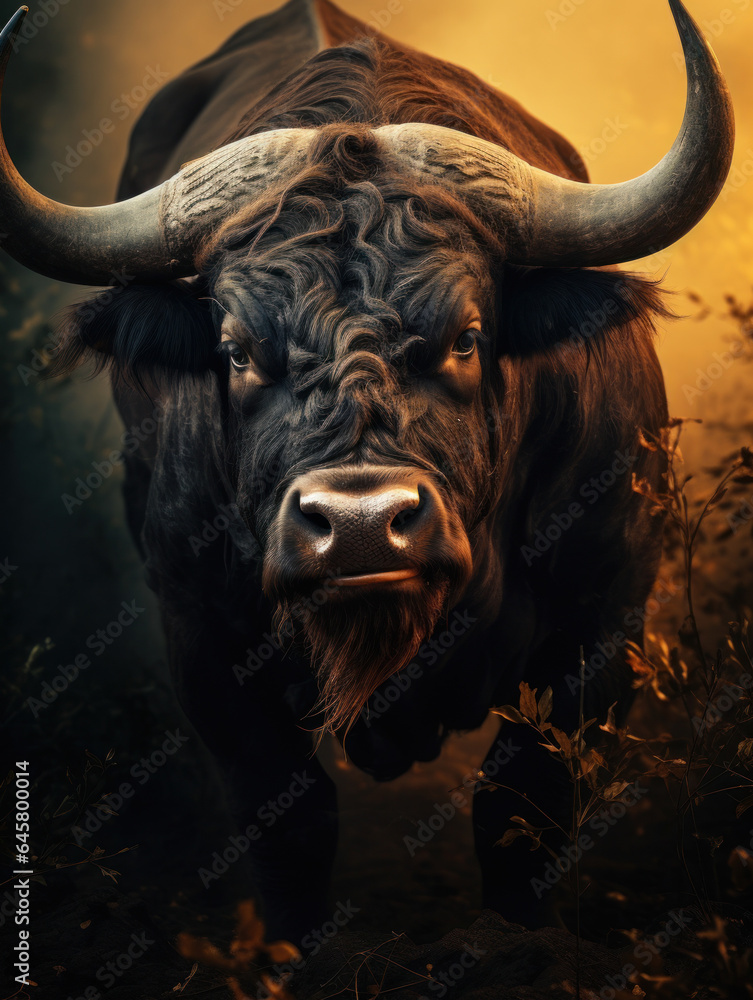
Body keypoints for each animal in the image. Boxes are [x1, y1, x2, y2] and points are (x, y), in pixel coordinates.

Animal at [0, 0, 734, 942]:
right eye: (236, 351)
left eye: (466, 336)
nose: (356, 527)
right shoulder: (201, 634)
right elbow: (290, 820)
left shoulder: (603, 614)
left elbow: (521, 806)